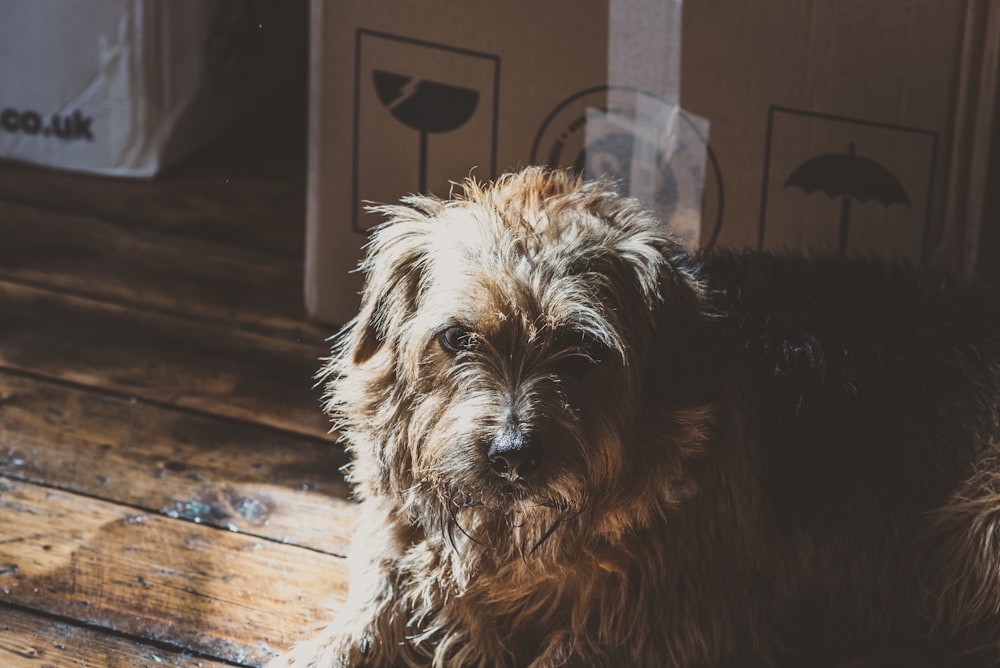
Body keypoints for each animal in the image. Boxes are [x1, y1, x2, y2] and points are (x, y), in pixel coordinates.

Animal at [274, 167, 1000, 668]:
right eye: (456, 338)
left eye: (583, 350)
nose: (512, 456)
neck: (513, 535)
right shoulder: (398, 551)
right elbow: (362, 621)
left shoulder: (664, 620)